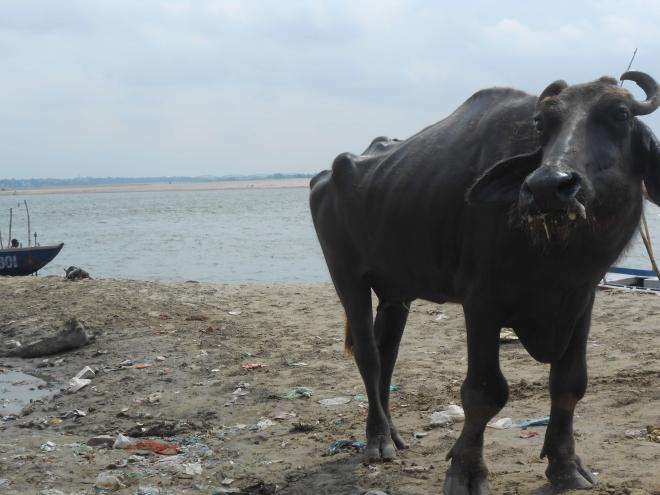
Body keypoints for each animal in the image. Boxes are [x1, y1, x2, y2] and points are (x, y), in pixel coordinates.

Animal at [309, 71, 660, 494]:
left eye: (620, 114)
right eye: (542, 123)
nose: (547, 186)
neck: (554, 256)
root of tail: (325, 177)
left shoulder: (581, 298)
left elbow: (570, 383)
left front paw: (565, 464)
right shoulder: (482, 303)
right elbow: (484, 392)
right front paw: (466, 470)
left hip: (396, 293)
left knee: (387, 353)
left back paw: (392, 432)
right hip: (348, 278)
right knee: (369, 355)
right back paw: (377, 440)